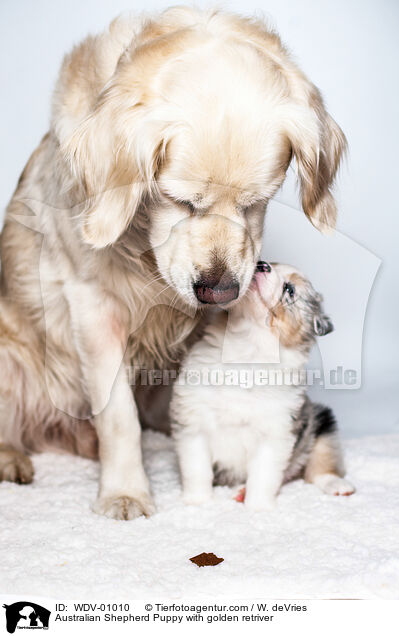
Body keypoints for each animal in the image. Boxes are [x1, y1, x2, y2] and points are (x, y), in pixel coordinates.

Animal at [170, 260, 354, 510]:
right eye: (270, 262)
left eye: (290, 289)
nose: (262, 265)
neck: (248, 345)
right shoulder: (193, 422)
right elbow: (197, 468)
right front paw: (197, 501)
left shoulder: (275, 432)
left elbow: (263, 475)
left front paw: (258, 508)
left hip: (322, 423)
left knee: (320, 465)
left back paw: (337, 485)